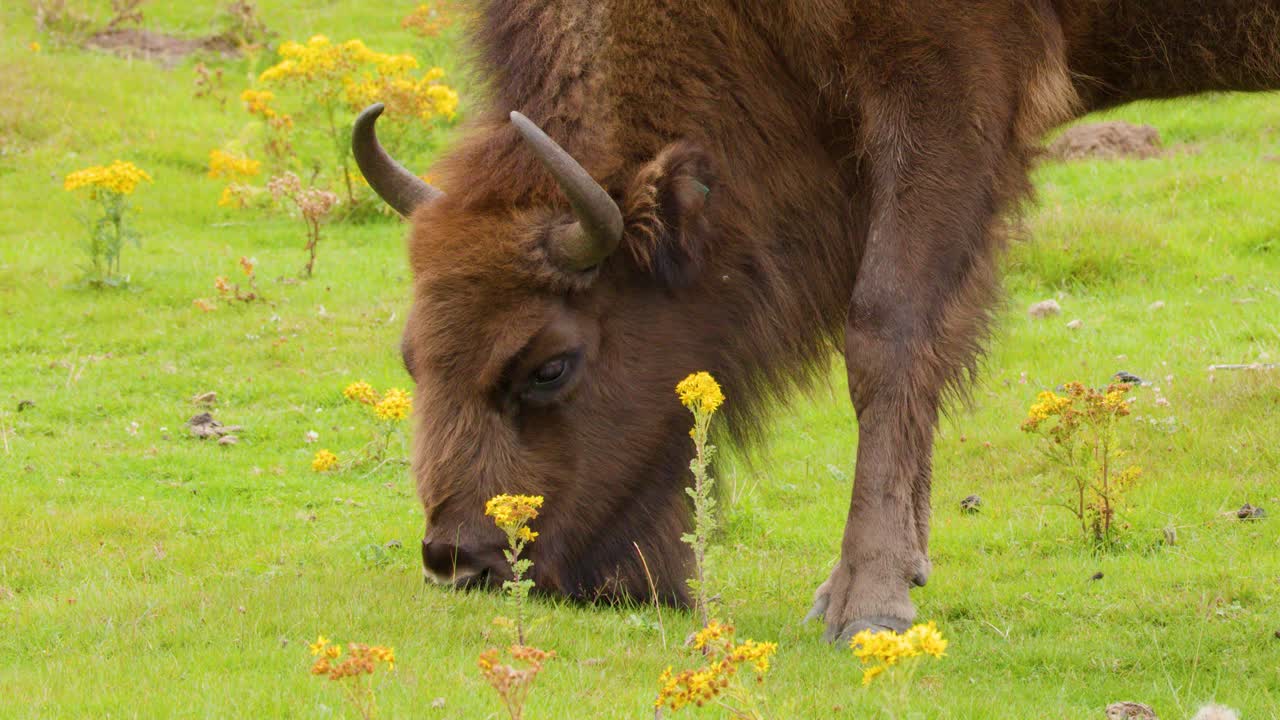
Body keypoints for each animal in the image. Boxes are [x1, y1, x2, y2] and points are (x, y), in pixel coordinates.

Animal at [353, 1, 1280, 642]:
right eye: (412, 356)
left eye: (548, 365)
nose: (461, 560)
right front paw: (887, 573)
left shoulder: (949, 85)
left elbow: (885, 325)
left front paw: (865, 605)